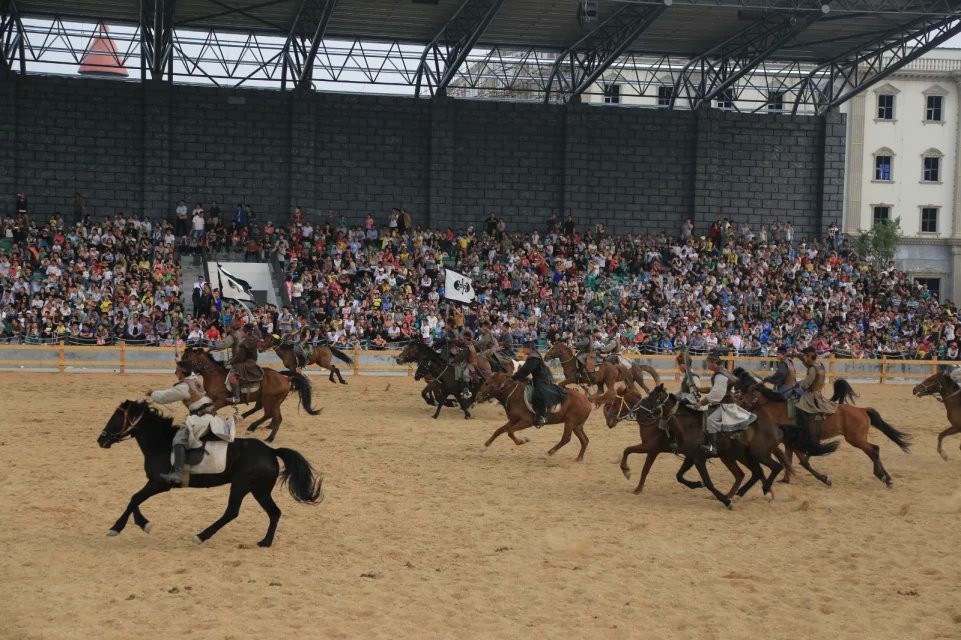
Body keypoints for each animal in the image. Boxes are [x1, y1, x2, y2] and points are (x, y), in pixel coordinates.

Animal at [98, 400, 324, 544]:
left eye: (116, 418)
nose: (101, 439)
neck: (160, 442)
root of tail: (270, 451)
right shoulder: (153, 482)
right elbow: (134, 499)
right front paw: (142, 523)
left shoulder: (160, 484)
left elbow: (134, 498)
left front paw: (117, 527)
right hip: (259, 490)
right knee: (274, 512)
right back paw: (265, 542)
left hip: (241, 485)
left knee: (232, 512)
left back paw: (201, 536)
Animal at [176, 348, 318, 442]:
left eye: (187, 358)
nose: (178, 372)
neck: (214, 375)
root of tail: (285, 378)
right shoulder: (210, 399)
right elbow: (198, 411)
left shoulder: (221, 401)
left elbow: (206, 411)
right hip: (273, 401)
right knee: (272, 415)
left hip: (269, 400)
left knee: (270, 415)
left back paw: (264, 435)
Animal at [736, 370, 908, 484]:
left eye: (747, 391)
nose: (740, 404)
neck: (780, 410)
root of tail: (861, 410)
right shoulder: (789, 442)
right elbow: (789, 459)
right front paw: (786, 479)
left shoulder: (795, 441)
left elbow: (802, 461)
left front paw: (824, 478)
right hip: (858, 439)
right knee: (874, 450)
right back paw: (884, 476)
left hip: (855, 439)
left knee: (873, 450)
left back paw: (884, 477)